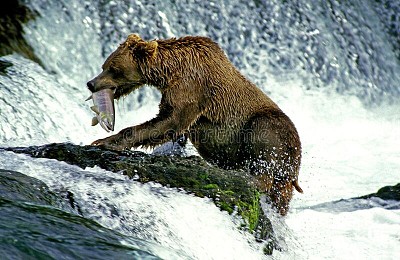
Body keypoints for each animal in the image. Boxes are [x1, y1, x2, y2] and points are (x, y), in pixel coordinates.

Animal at [86, 34, 300, 215]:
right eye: (104, 65)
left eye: (113, 69)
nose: (91, 83)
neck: (170, 71)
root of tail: (295, 172)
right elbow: (170, 126)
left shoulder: (192, 87)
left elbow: (170, 121)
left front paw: (105, 141)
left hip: (274, 132)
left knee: (263, 142)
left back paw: (244, 176)